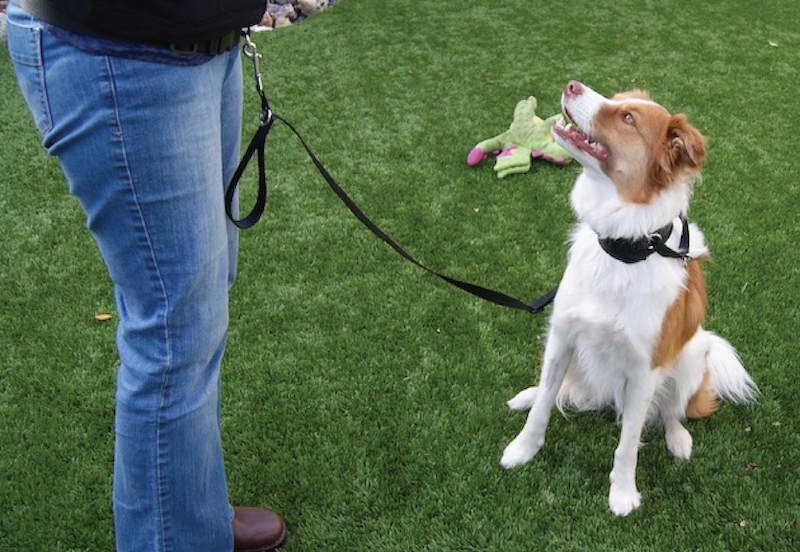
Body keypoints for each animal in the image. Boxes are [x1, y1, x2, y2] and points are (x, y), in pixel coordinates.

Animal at [500, 81, 756, 516]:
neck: (623, 249)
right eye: (618, 100)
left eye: (627, 118)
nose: (572, 84)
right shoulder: (563, 335)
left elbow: (629, 443)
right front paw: (523, 449)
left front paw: (622, 493)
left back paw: (679, 439)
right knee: (560, 388)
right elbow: (543, 407)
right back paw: (528, 394)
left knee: (672, 411)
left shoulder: (644, 371)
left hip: (693, 354)